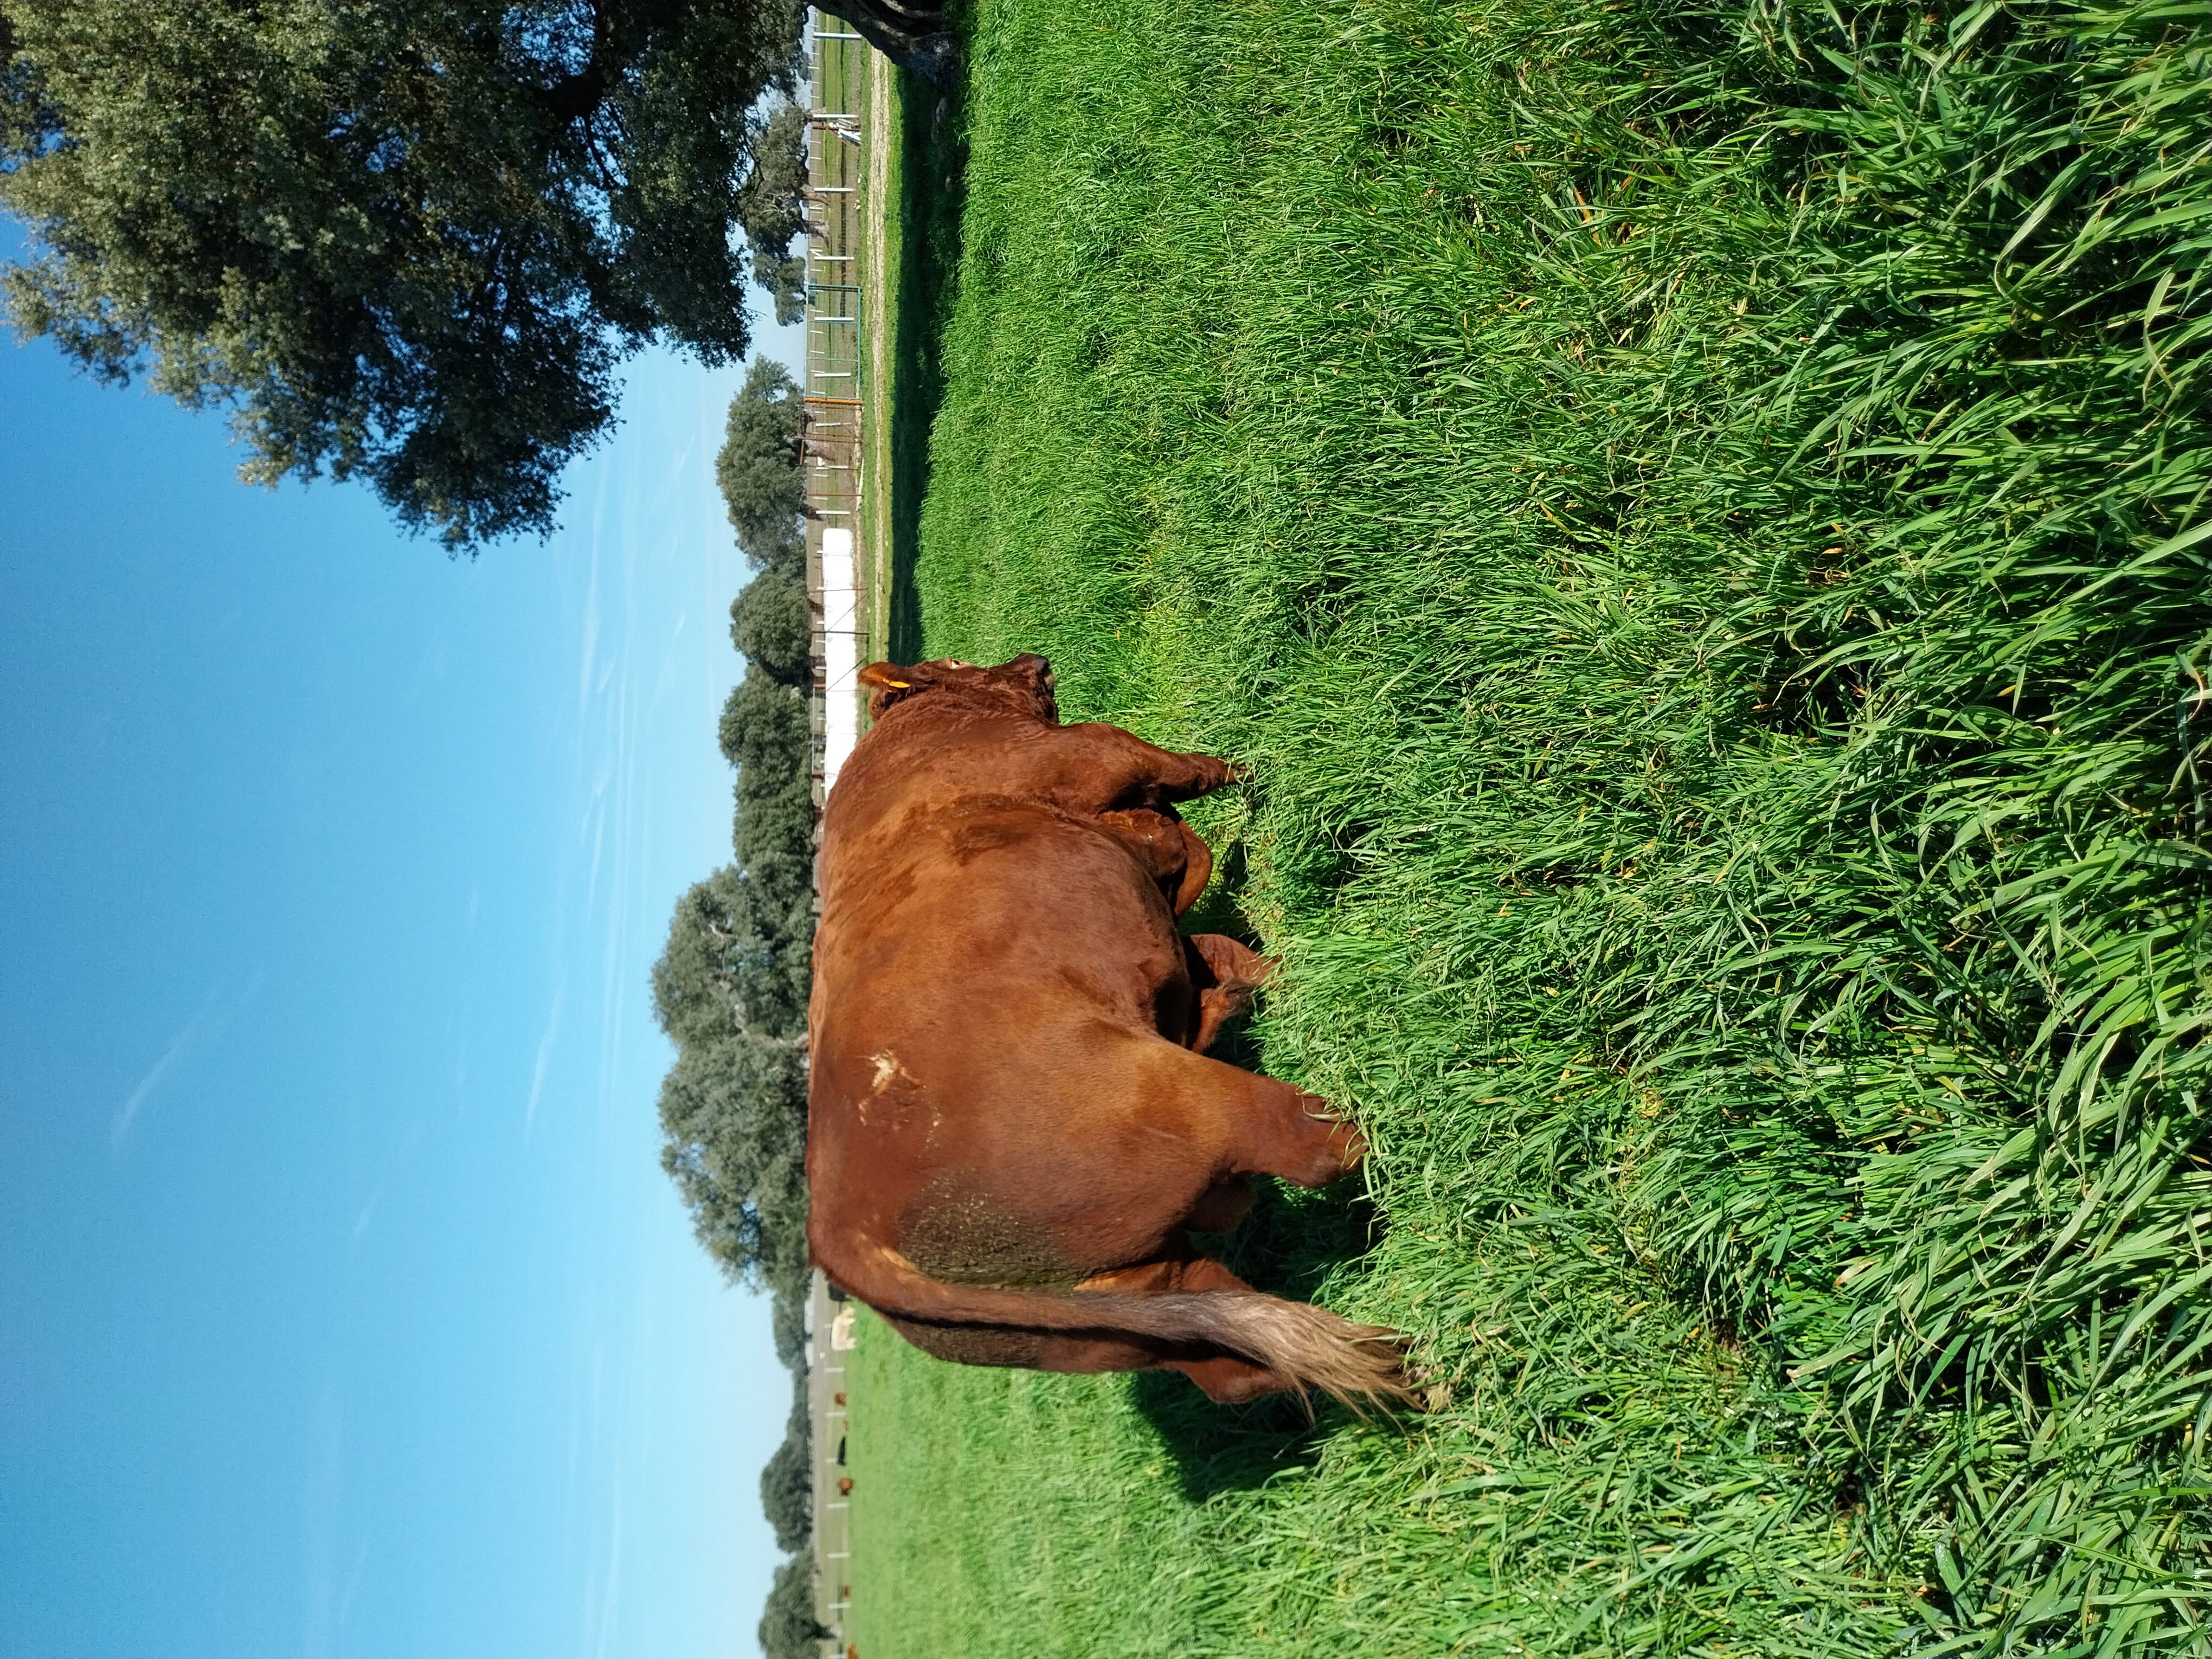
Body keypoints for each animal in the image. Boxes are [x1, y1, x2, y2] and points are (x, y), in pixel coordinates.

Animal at [805, 652, 1409, 1406]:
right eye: (955, 664)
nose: (1037, 662)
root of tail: (843, 1239)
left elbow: (1213, 940)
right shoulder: (1096, 753)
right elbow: (1197, 771)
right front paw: (1259, 771)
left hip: (1129, 1305)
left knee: (1238, 1365)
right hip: (1193, 1107)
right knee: (1320, 1145)